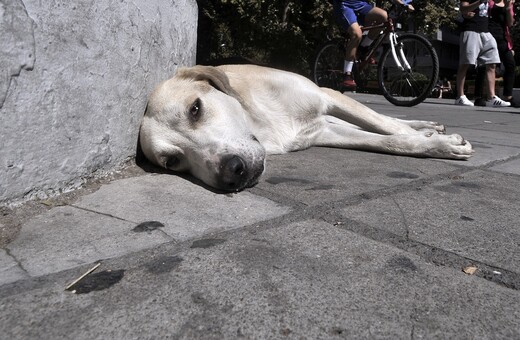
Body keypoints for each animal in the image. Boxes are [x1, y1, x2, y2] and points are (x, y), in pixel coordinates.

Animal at [140, 63, 474, 191]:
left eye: (195, 109)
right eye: (172, 162)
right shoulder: (324, 132)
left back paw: (427, 125)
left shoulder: (328, 95)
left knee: (387, 119)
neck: (262, 123)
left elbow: (386, 127)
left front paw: (439, 142)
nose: (232, 173)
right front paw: (431, 142)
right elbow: (386, 139)